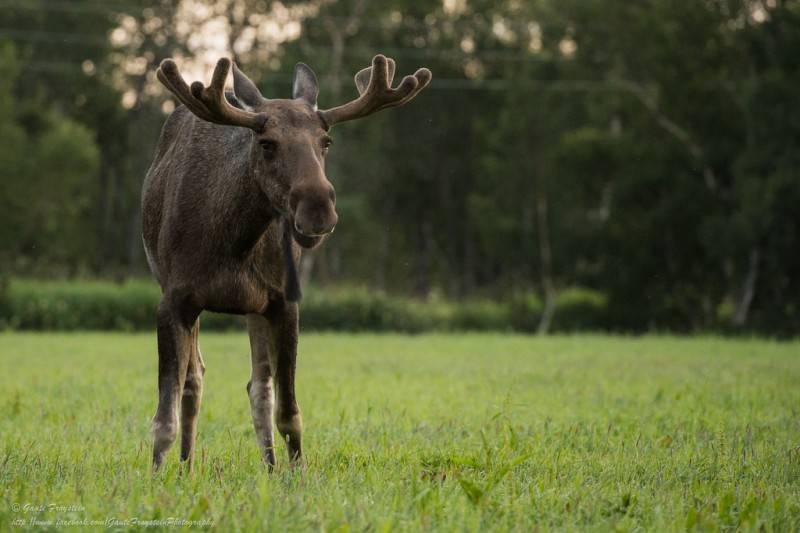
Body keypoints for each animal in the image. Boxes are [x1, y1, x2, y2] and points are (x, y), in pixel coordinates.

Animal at [142, 55, 432, 470]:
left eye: (326, 141)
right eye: (267, 143)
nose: (318, 207)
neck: (234, 243)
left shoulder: (283, 300)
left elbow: (289, 411)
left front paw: (296, 475)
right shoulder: (174, 298)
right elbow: (165, 414)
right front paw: (155, 477)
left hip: (254, 307)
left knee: (258, 386)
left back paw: (268, 466)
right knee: (195, 381)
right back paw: (186, 466)